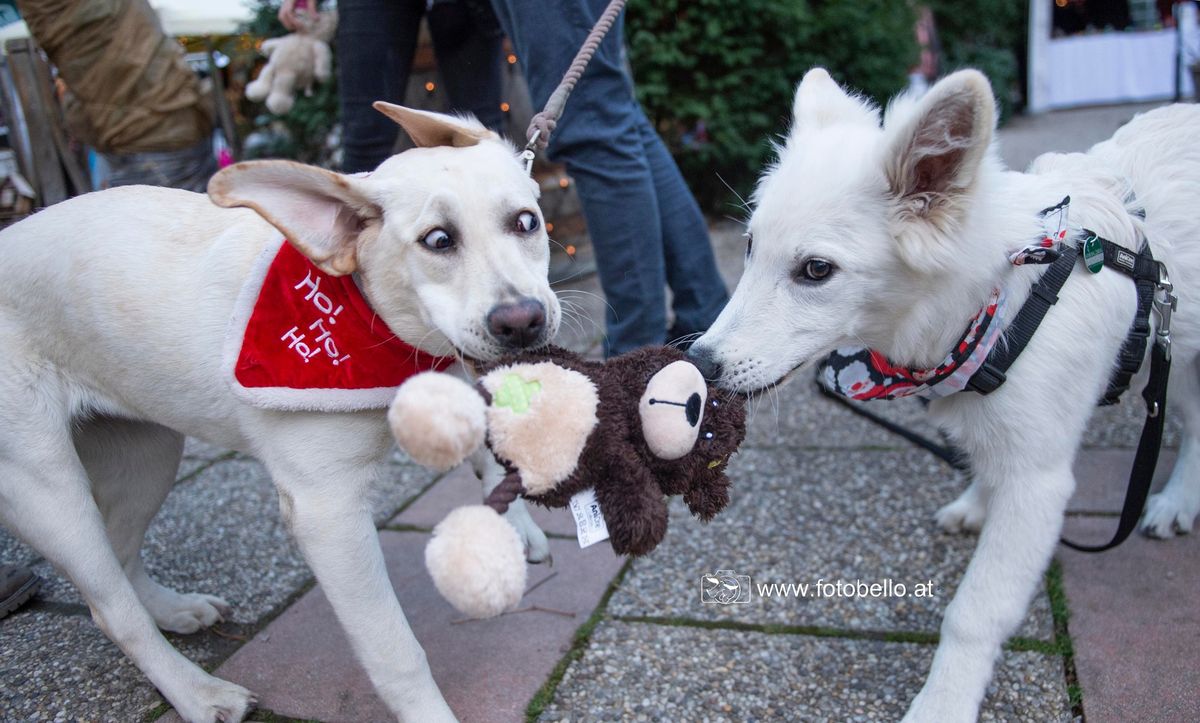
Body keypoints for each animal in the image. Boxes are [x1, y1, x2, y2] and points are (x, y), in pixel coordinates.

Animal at [0, 103, 559, 715]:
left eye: (527, 222)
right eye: (438, 240)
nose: (523, 321)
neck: (367, 313)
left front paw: (514, 520)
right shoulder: (327, 512)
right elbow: (396, 652)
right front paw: (429, 715)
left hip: (145, 455)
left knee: (122, 557)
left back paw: (174, 610)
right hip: (50, 493)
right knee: (110, 608)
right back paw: (197, 693)